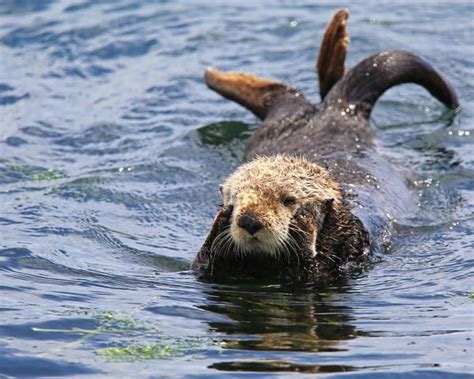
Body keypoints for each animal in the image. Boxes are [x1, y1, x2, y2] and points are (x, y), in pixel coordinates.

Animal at [193, 8, 460, 282]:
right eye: (235, 200)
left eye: (289, 200)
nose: (249, 220)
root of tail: (337, 111)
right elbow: (205, 260)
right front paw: (221, 221)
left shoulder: (344, 252)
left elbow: (313, 262)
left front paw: (304, 225)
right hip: (277, 123)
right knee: (284, 93)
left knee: (287, 93)